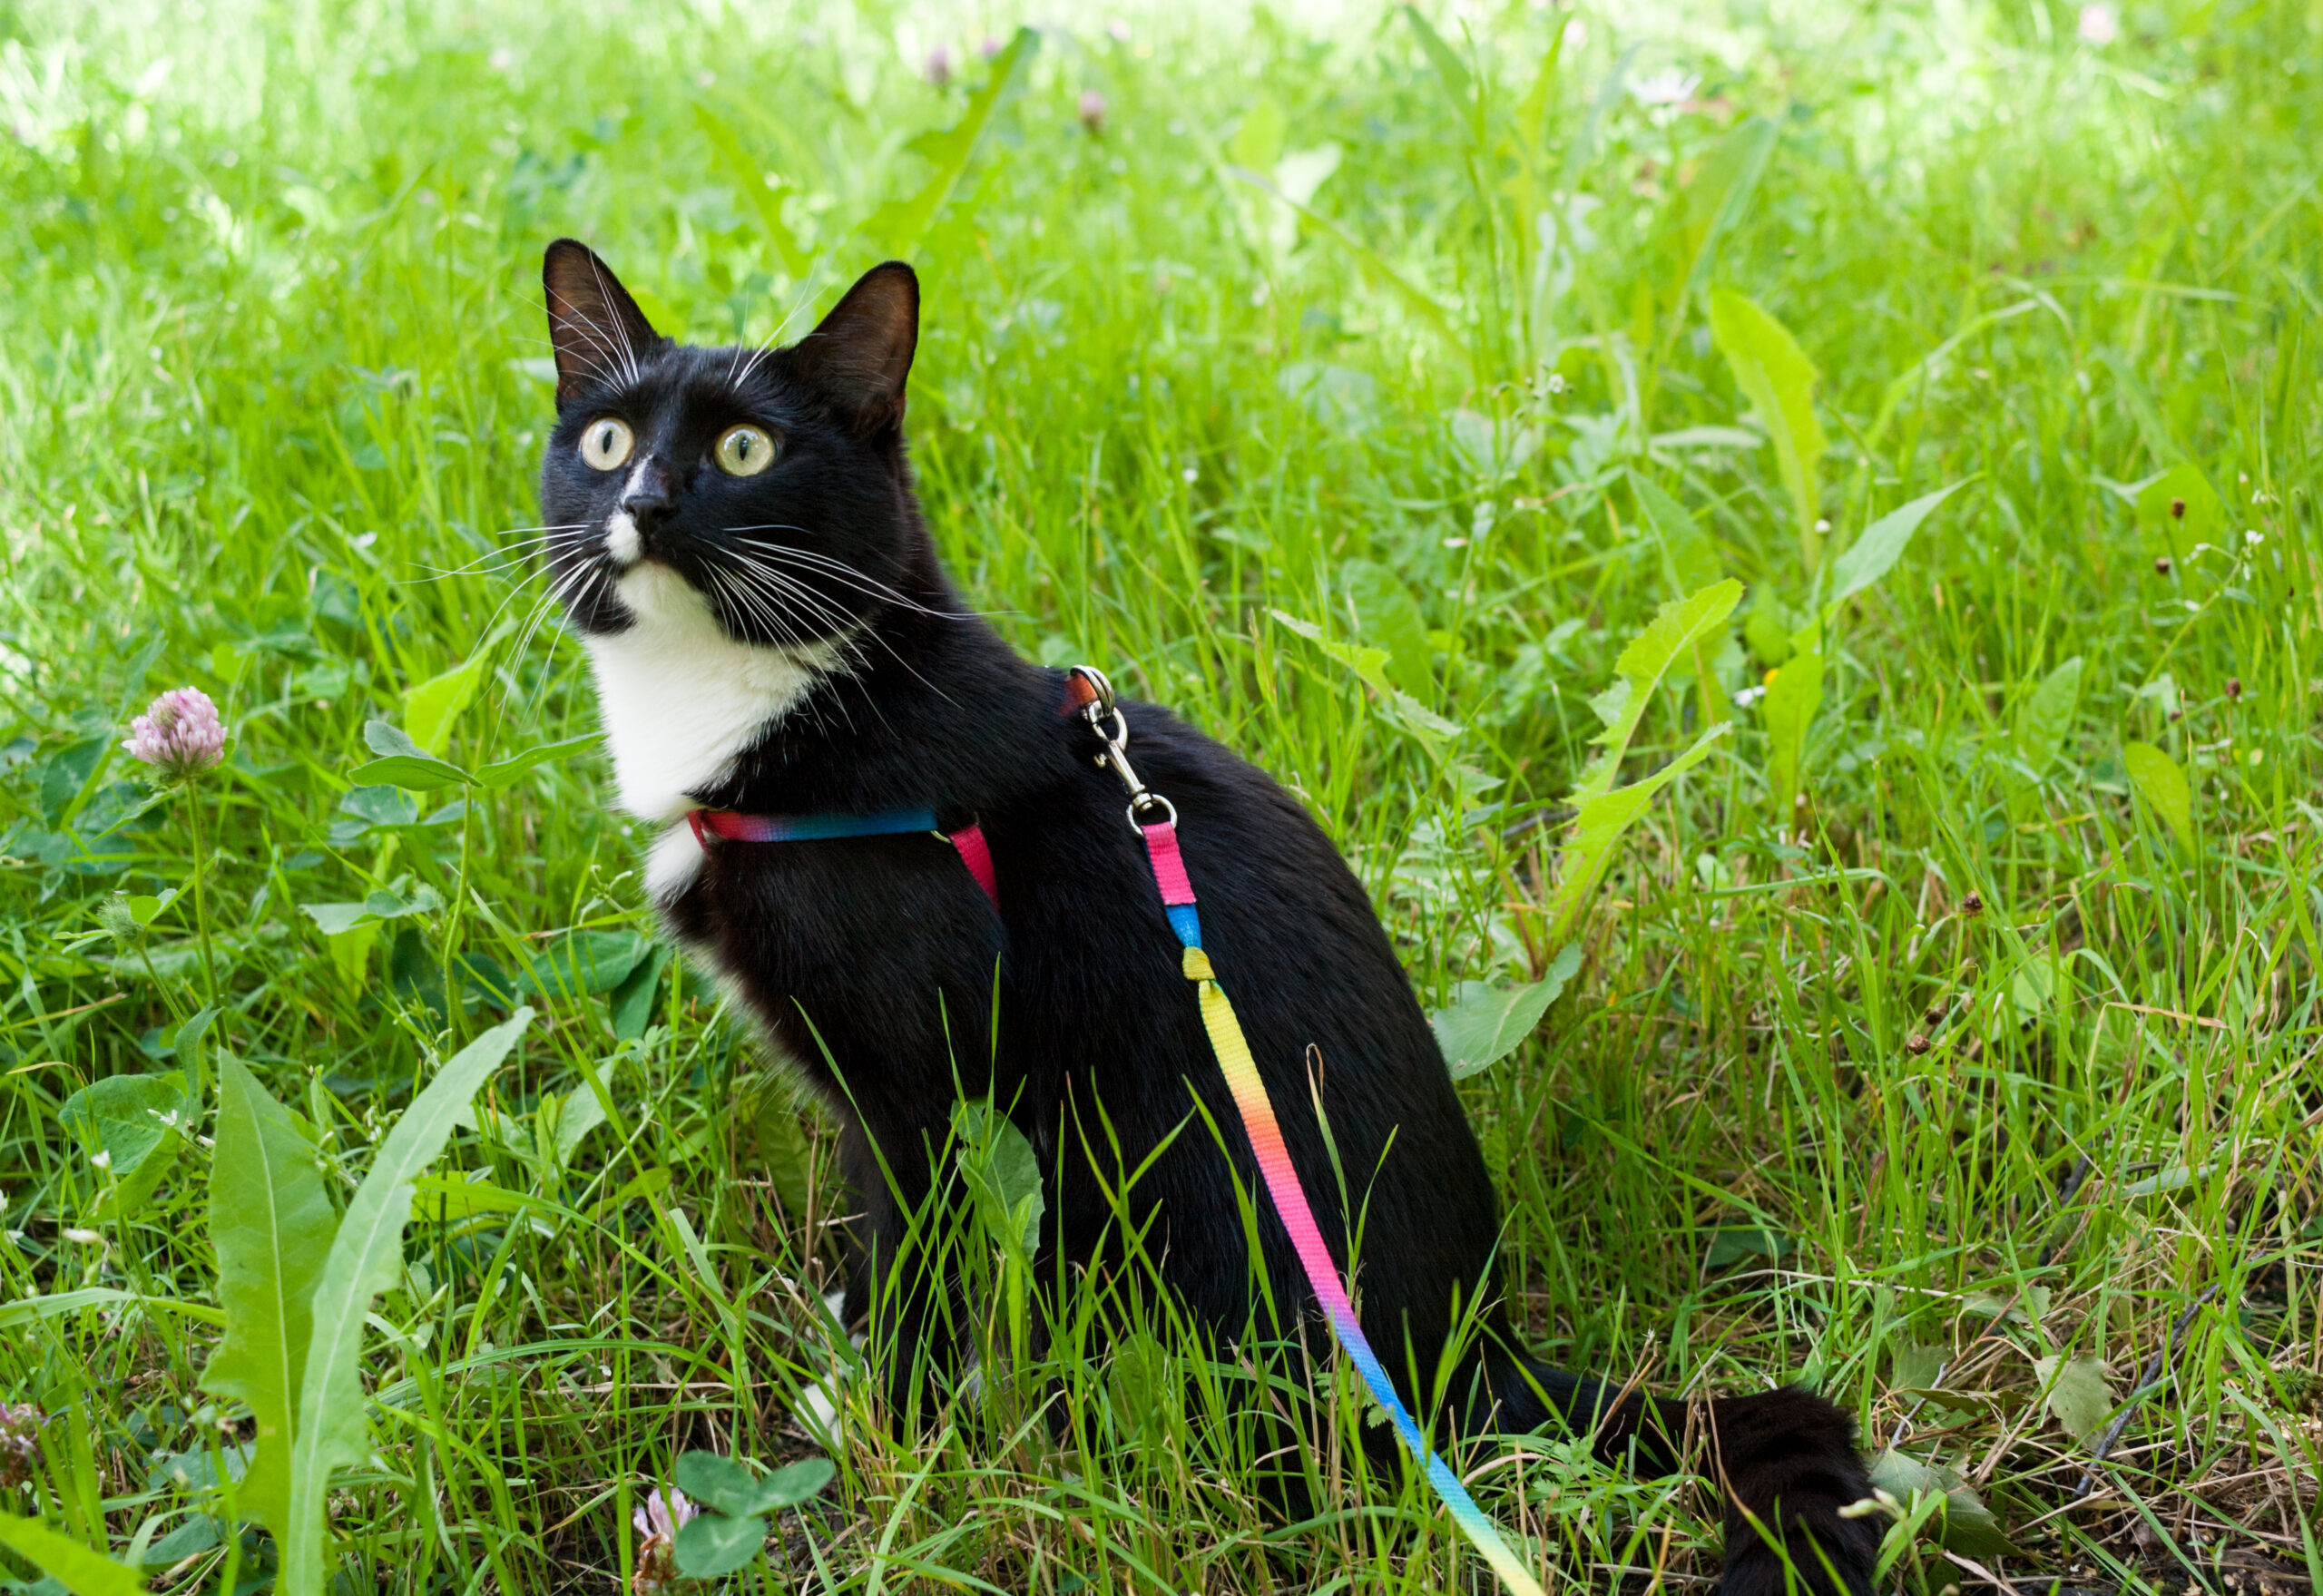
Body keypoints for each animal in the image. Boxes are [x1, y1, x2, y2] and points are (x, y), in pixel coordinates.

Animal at [534, 240, 1877, 1596]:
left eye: (746, 449)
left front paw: (873, 1442)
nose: (645, 499)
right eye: (605, 439)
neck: (782, 707)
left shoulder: (917, 1089)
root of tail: (1473, 1355)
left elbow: (907, 1271)